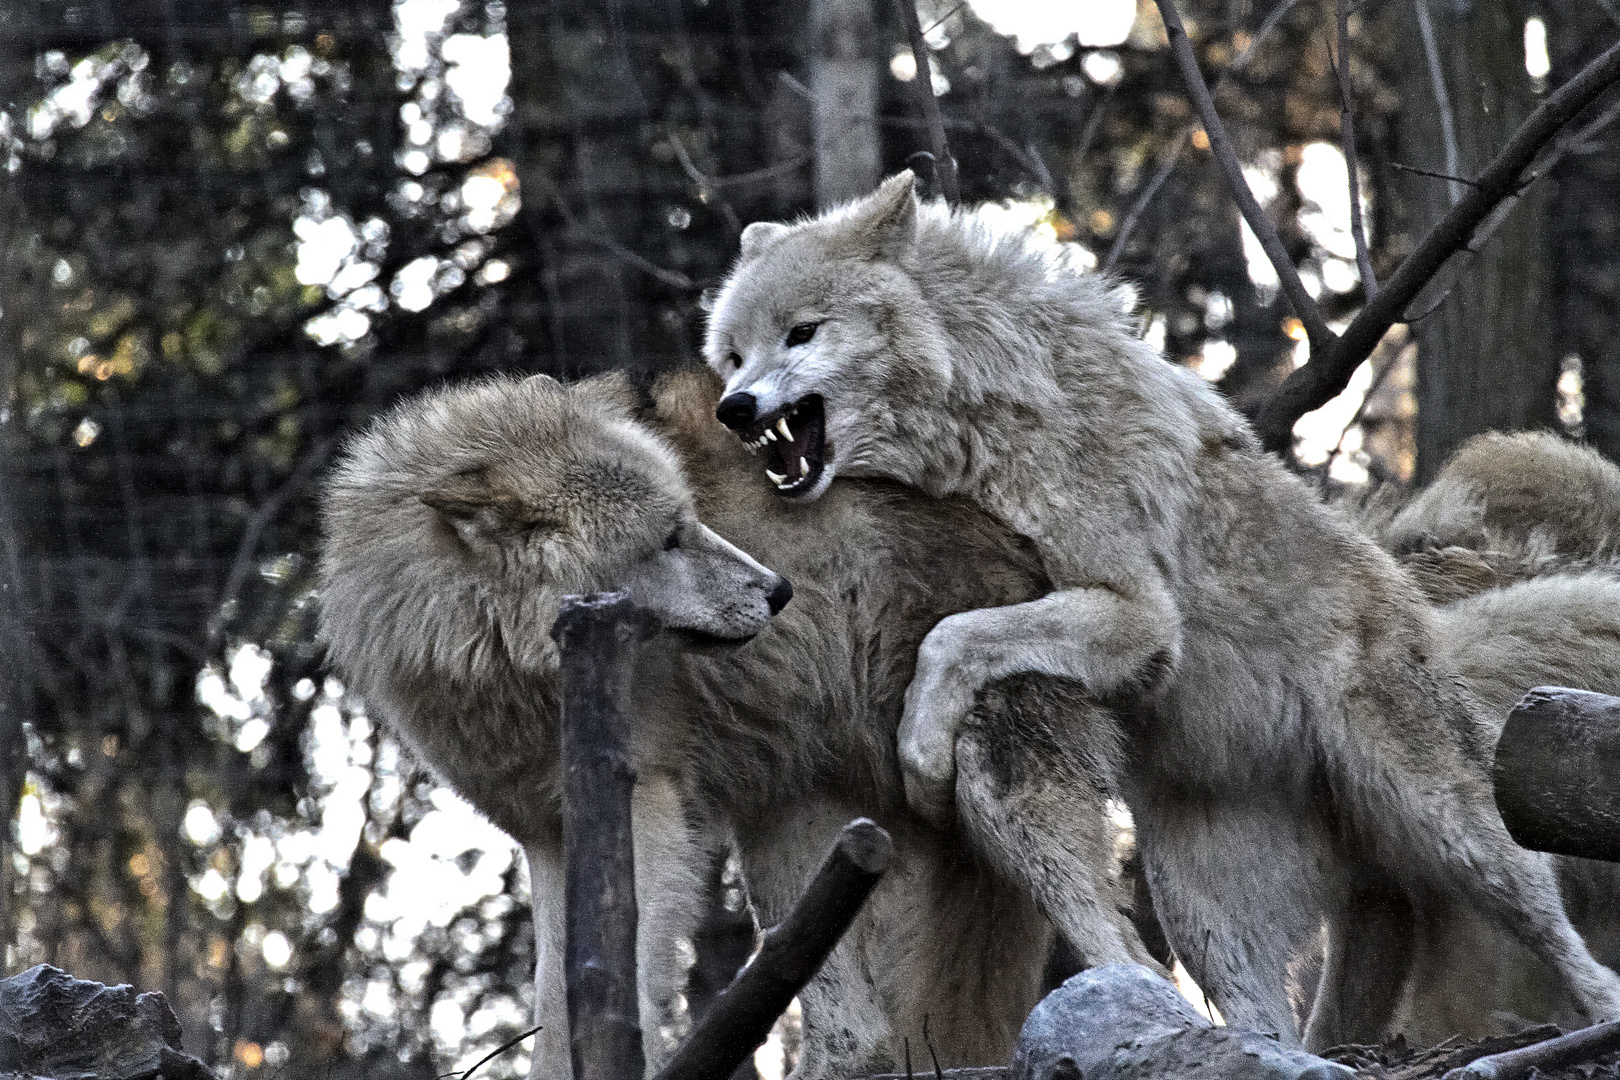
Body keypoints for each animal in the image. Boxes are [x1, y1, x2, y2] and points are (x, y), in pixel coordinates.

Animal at [706, 170, 1620, 1049]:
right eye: (734, 354)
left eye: (802, 332)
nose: (734, 410)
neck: (995, 411)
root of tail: (1422, 615)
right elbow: (953, 632)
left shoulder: (1138, 618)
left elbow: (949, 637)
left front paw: (924, 756)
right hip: (1201, 910)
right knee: (1265, 1010)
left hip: (1453, 828)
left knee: (1552, 925)